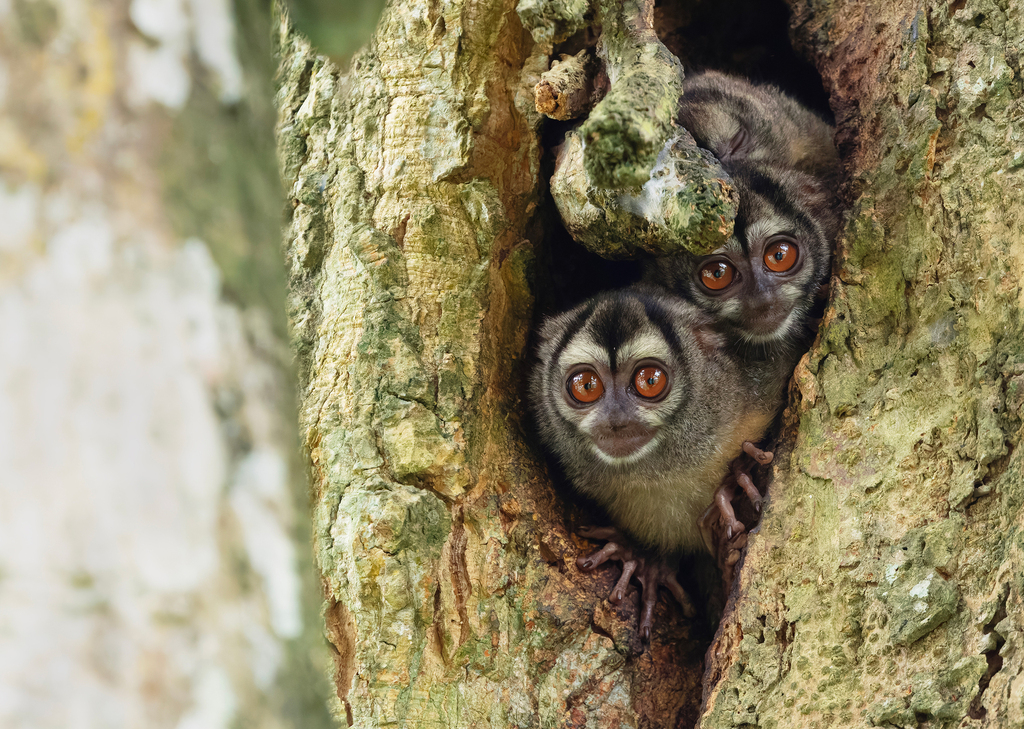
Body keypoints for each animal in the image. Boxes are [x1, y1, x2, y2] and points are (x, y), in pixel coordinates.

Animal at [529, 284, 787, 639]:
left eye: (650, 380)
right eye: (586, 385)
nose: (616, 420)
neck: (668, 469)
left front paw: (736, 479)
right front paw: (643, 561)